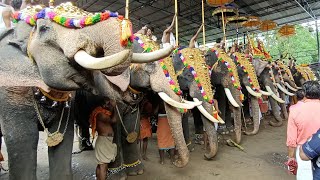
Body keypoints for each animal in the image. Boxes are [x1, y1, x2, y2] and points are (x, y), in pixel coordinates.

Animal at [0, 3, 172, 180]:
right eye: (44, 29)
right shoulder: (11, 94)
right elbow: (23, 138)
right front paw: (120, 175)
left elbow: (132, 127)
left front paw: (137, 172)